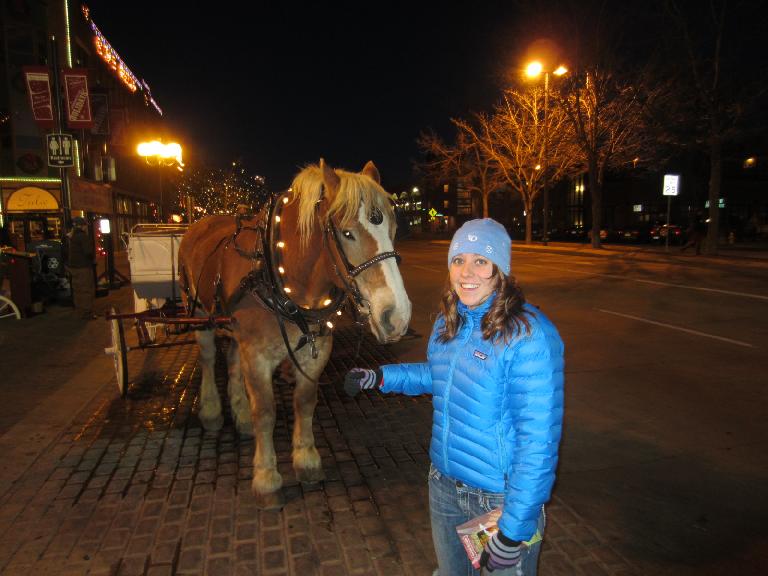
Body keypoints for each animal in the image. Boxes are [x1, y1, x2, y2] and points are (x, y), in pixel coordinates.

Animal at [177, 158, 412, 508]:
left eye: (393, 231)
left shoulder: (316, 351)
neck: (283, 279)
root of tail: (200, 224)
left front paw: (306, 459)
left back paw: (239, 414)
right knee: (207, 358)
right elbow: (265, 412)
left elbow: (305, 401)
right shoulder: (257, 355)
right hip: (200, 315)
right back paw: (211, 412)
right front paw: (266, 477)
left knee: (231, 361)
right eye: (347, 233)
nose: (396, 316)